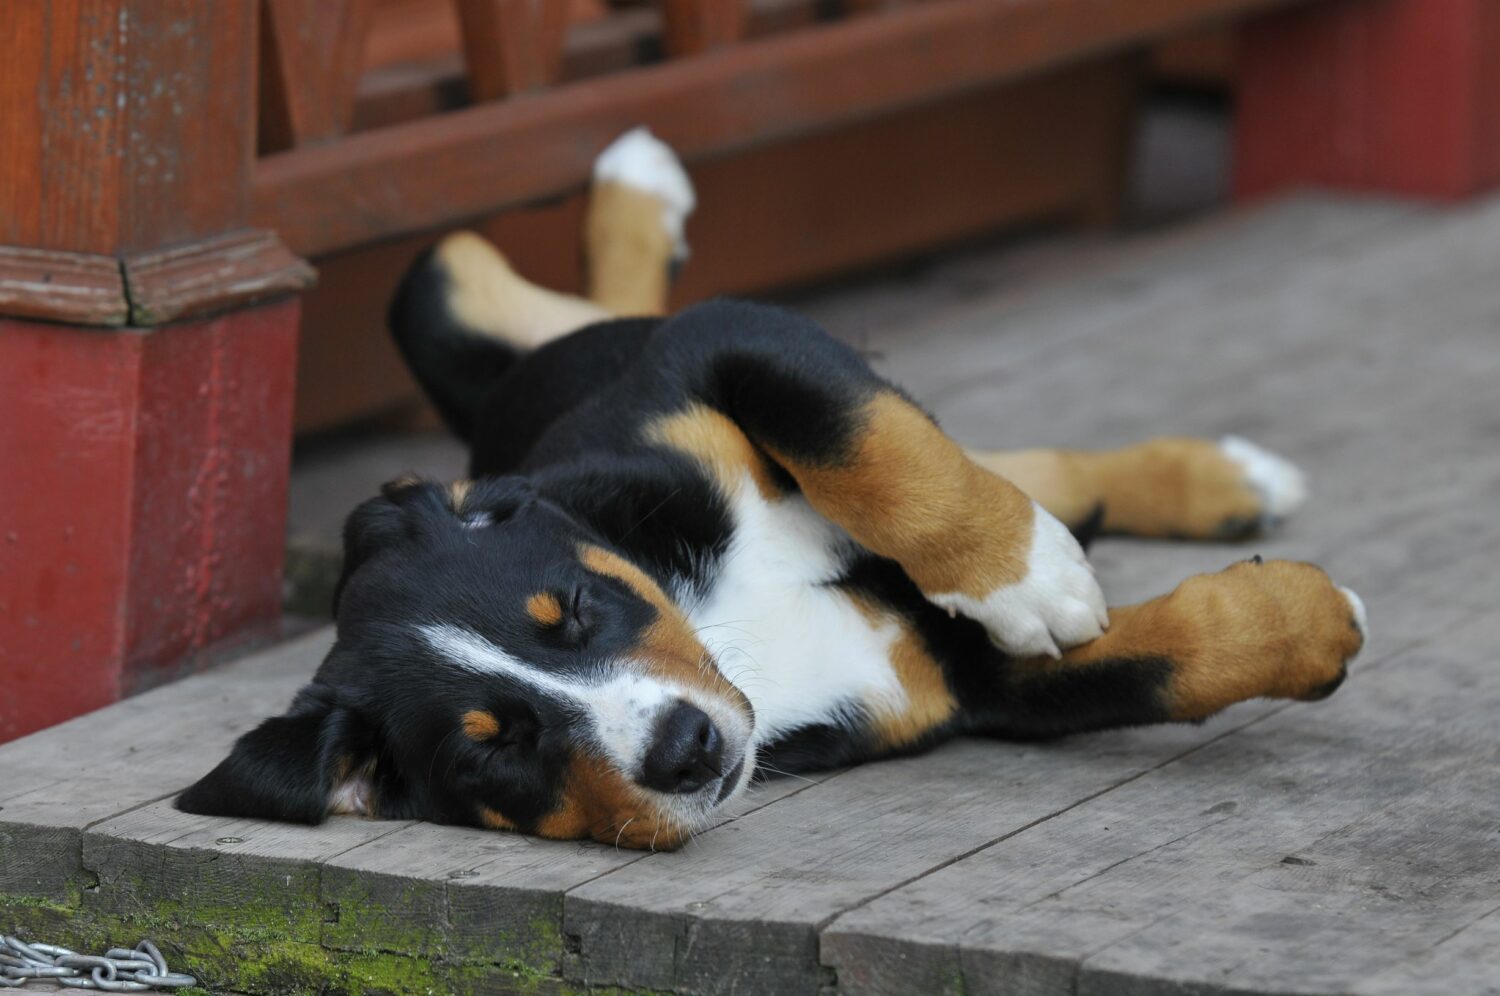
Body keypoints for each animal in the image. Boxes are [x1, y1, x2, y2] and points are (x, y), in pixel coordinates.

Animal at [178, 130, 1374, 846]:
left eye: (575, 610)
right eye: (495, 749)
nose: (684, 750)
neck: (720, 625)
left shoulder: (724, 347)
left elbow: (867, 440)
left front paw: (1026, 577)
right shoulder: (967, 682)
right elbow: (1165, 661)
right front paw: (1305, 621)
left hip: (492, 306)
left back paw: (636, 186)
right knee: (1051, 476)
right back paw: (1224, 484)